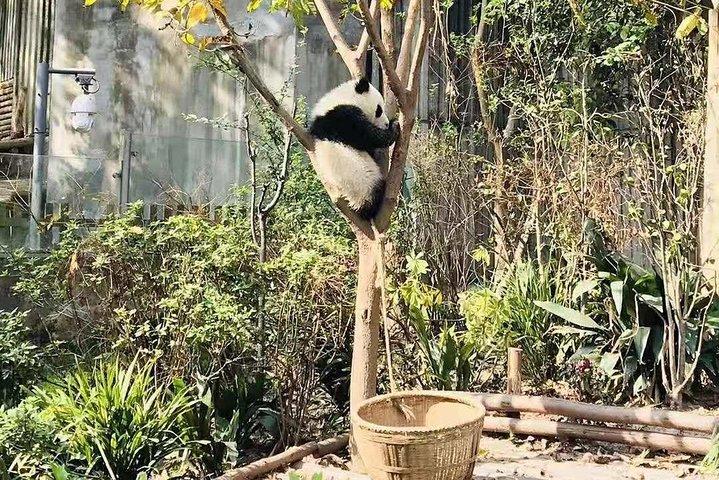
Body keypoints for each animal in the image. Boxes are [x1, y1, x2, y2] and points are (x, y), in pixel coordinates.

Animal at [308, 77, 400, 220]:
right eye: (379, 110)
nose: (385, 124)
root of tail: (357, 206)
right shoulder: (343, 118)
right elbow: (369, 136)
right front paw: (394, 127)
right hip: (364, 183)